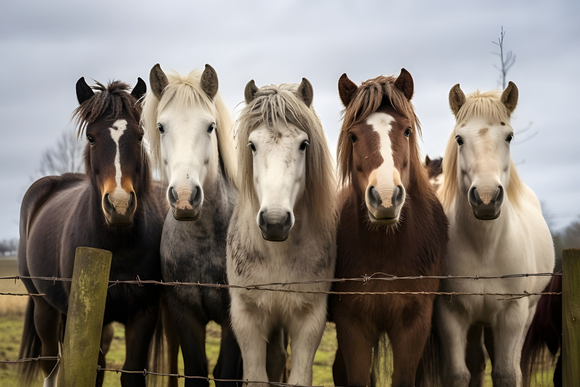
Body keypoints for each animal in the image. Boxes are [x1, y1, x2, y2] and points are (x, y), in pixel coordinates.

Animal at [18, 77, 164, 386]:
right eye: (91, 137)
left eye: (140, 136)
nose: (119, 205)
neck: (117, 245)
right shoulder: (91, 314)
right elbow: (93, 371)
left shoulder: (144, 312)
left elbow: (132, 373)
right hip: (43, 306)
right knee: (50, 364)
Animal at [142, 62, 241, 386]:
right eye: (161, 127)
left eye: (210, 126)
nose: (185, 197)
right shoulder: (183, 313)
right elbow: (196, 370)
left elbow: (227, 372)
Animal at [328, 70, 450, 387]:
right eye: (353, 136)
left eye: (406, 131)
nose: (384, 198)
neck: (387, 249)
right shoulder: (352, 326)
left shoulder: (413, 327)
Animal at [432, 82, 556, 387]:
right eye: (459, 139)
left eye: (509, 136)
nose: (486, 198)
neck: (485, 248)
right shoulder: (450, 314)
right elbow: (458, 374)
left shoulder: (512, 314)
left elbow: (507, 373)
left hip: (524, 315)